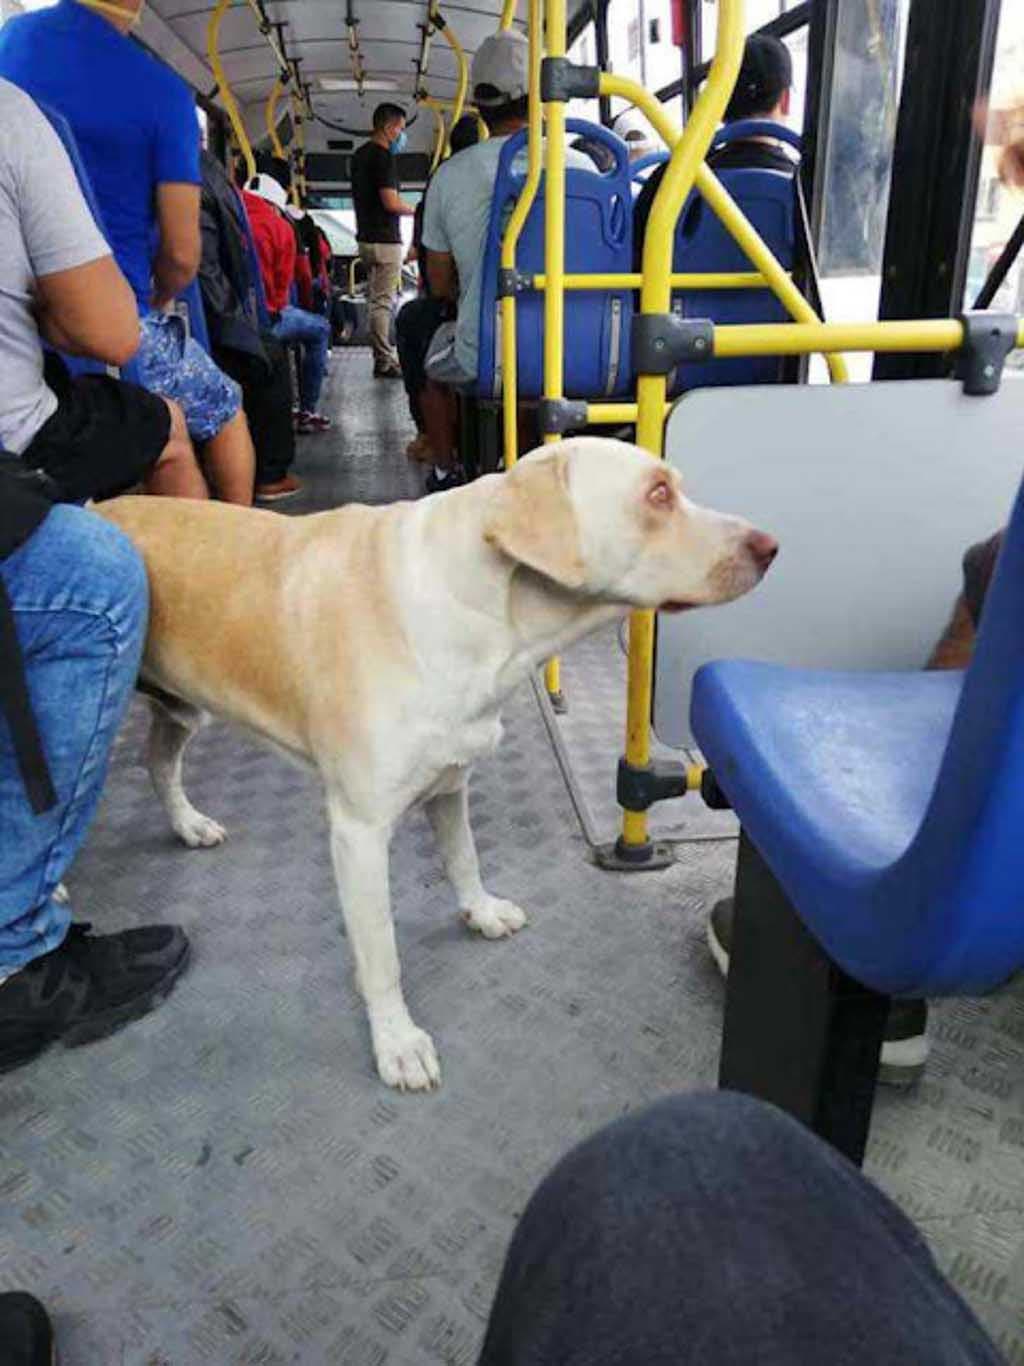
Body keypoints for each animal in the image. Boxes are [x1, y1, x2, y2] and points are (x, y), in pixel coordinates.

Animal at [104, 437, 775, 1087]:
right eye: (658, 493)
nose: (770, 547)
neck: (483, 617)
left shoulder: (451, 784)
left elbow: (463, 857)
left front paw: (481, 911)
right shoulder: (358, 832)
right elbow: (382, 954)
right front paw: (396, 1043)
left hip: (181, 710)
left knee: (157, 761)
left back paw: (188, 824)